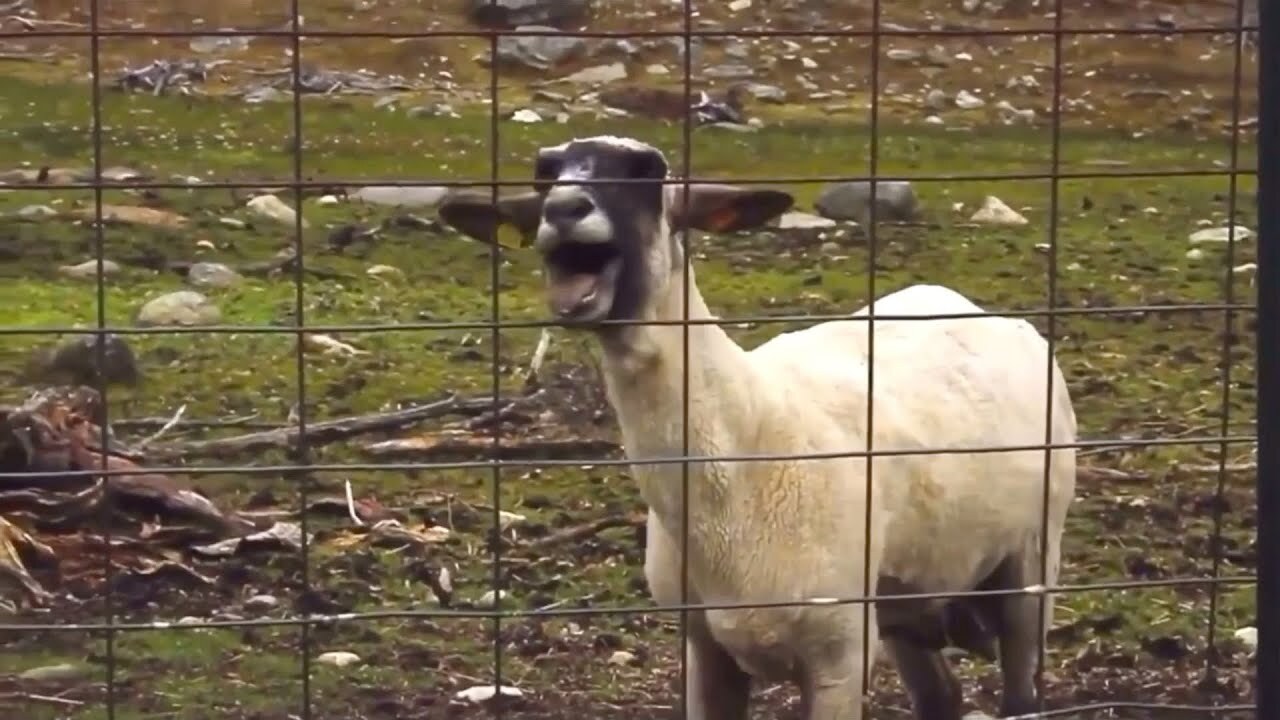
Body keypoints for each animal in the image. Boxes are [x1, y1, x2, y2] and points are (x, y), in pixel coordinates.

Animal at [437, 135, 1078, 720]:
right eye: (546, 173)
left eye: (648, 171)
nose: (565, 209)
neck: (743, 446)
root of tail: (972, 305)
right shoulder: (705, 649)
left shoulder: (839, 656)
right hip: (909, 593)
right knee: (941, 696)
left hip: (1033, 557)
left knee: (1023, 688)